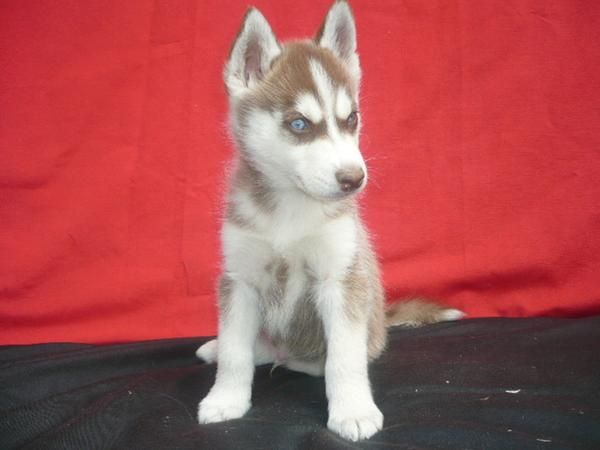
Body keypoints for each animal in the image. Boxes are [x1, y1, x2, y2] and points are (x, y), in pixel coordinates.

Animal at [197, 0, 464, 442]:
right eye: (299, 124)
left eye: (351, 118)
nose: (354, 179)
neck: (290, 207)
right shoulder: (239, 278)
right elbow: (236, 350)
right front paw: (225, 400)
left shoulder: (340, 277)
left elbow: (344, 357)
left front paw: (352, 410)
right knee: (252, 346)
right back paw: (221, 348)